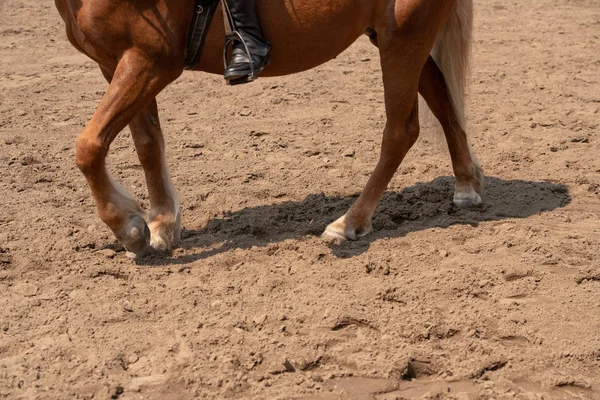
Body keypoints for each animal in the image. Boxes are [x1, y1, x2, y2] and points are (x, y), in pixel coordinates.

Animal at [55, 0, 482, 256]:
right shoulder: (118, 62)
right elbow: (146, 144)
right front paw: (161, 225)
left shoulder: (150, 59)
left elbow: (88, 146)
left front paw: (129, 228)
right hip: (398, 37)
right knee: (445, 103)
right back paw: (466, 186)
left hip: (404, 36)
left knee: (401, 131)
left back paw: (350, 223)